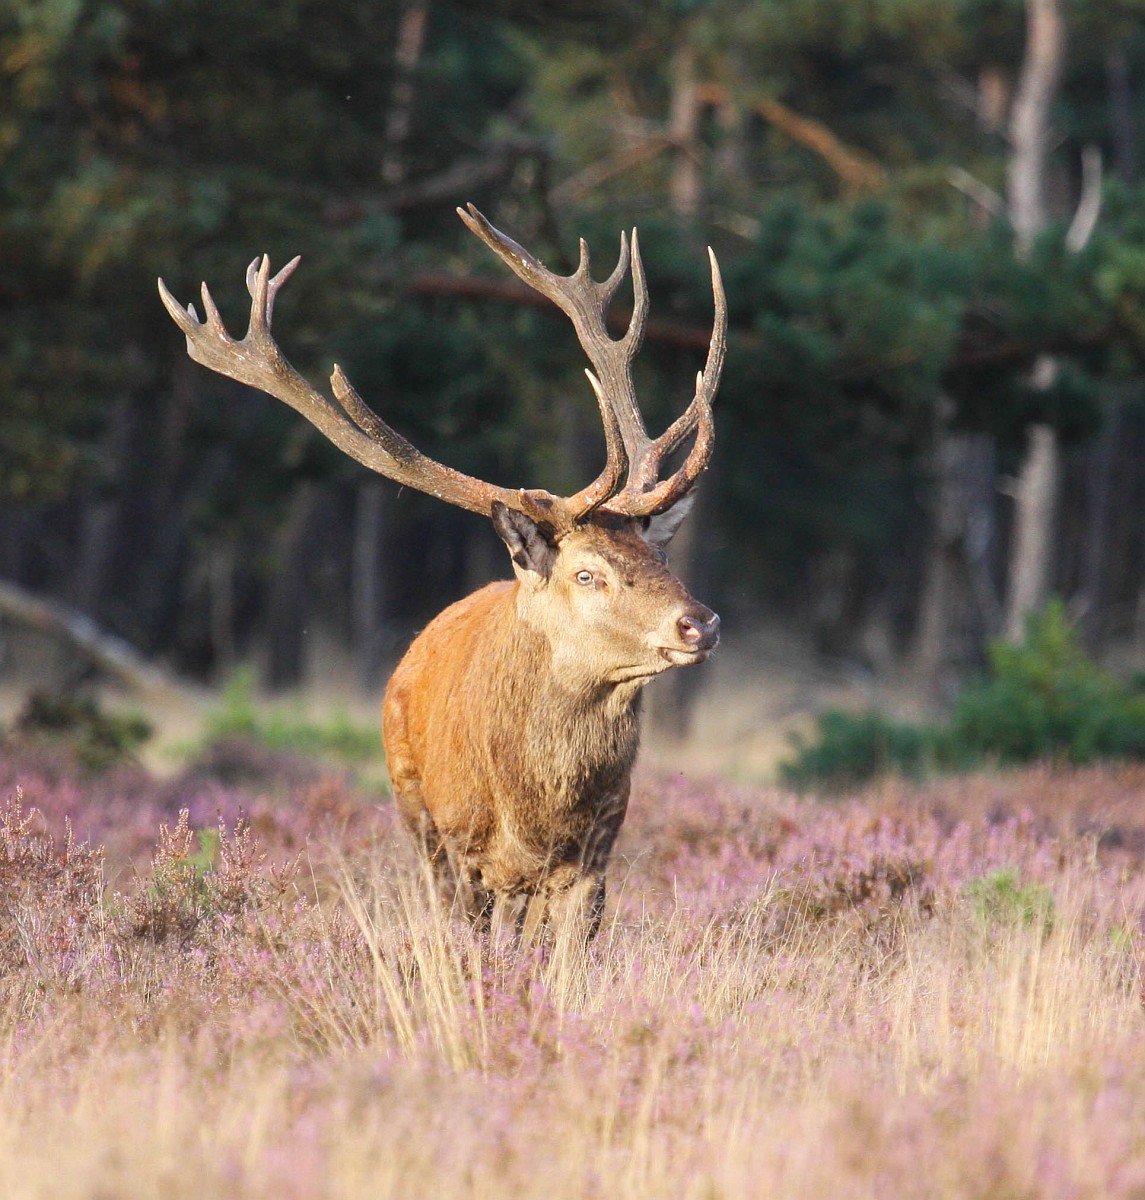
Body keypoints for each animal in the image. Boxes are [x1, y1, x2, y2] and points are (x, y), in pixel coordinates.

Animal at [158, 203, 725, 942]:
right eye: (586, 574)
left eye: (658, 556)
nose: (700, 624)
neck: (530, 808)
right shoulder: (460, 848)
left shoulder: (597, 853)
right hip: (413, 808)